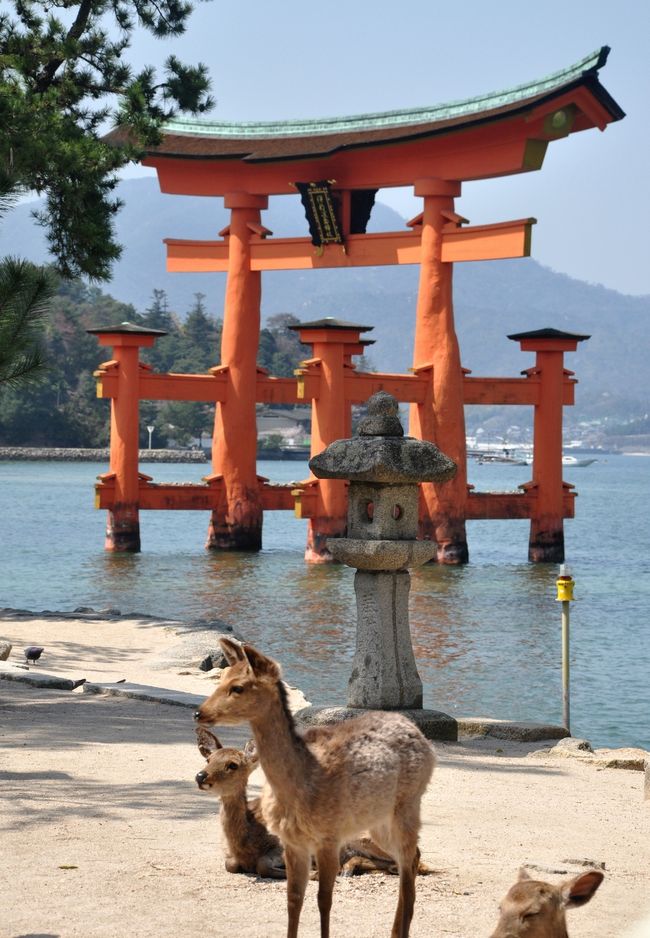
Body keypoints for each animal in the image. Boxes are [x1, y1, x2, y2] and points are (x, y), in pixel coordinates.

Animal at [194, 636, 436, 936]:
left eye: (237, 686)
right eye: (222, 677)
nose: (199, 712)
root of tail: (417, 732)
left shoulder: (328, 837)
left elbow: (324, 899)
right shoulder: (292, 842)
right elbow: (293, 899)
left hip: (409, 804)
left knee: (409, 859)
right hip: (378, 822)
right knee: (408, 861)